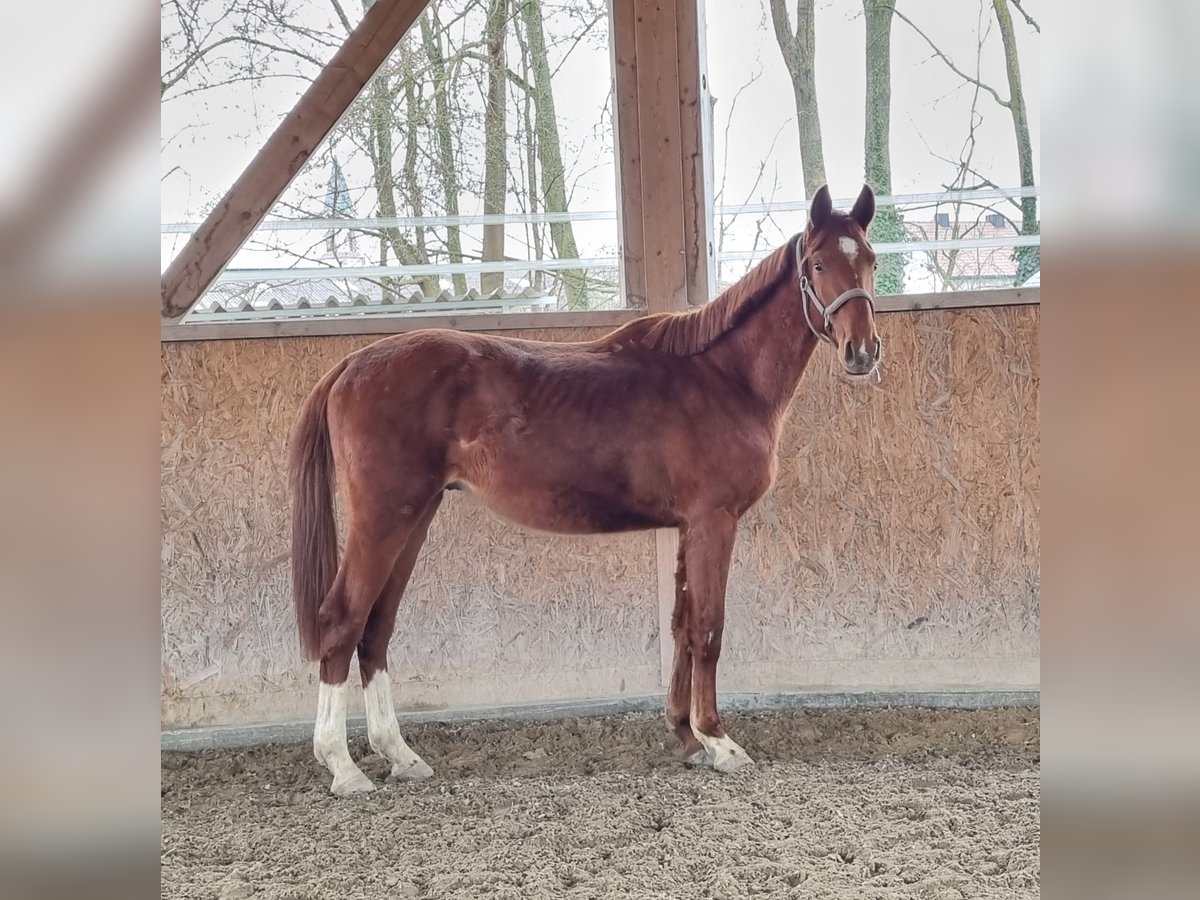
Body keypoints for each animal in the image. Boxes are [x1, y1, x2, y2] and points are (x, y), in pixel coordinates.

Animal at [292, 184, 883, 796]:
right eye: (819, 263)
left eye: (870, 259)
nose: (862, 352)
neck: (722, 377)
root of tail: (353, 363)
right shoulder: (714, 521)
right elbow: (708, 628)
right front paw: (719, 742)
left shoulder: (687, 526)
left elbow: (681, 625)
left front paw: (686, 736)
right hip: (385, 517)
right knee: (342, 619)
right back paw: (342, 766)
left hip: (414, 517)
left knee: (376, 627)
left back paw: (400, 755)